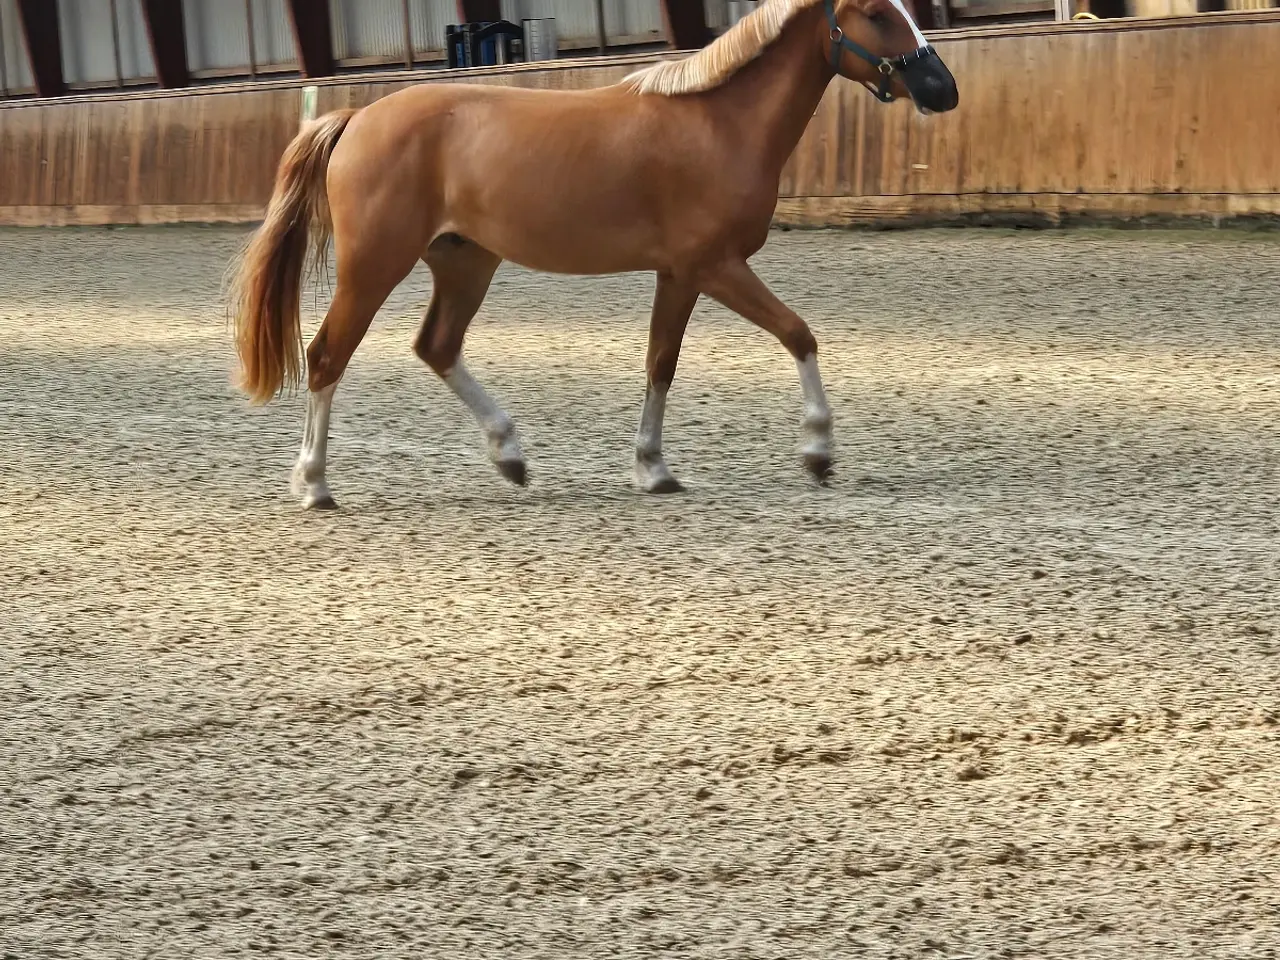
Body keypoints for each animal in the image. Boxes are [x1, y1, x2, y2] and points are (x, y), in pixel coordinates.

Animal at [230, 0, 958, 509]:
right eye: (875, 11)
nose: (943, 89)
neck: (718, 124)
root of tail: (355, 118)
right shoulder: (717, 267)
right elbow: (798, 334)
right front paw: (818, 451)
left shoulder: (680, 275)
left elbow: (660, 364)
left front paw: (653, 469)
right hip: (375, 265)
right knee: (327, 356)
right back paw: (314, 484)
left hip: (466, 262)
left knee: (436, 346)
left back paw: (510, 456)